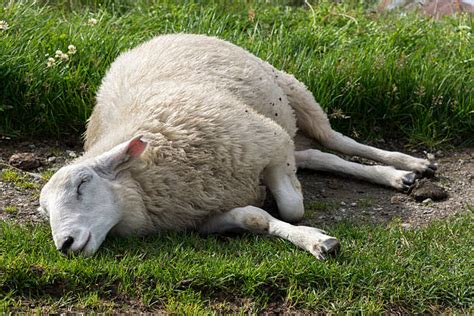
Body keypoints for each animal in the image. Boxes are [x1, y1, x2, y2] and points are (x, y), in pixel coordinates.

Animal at [39, 33, 436, 258]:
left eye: (83, 184)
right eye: (44, 212)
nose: (65, 245)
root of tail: (157, 37)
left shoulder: (270, 144)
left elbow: (292, 207)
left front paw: (290, 209)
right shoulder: (202, 216)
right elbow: (256, 217)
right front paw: (314, 241)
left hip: (292, 91)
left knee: (334, 140)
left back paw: (406, 168)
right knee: (312, 154)